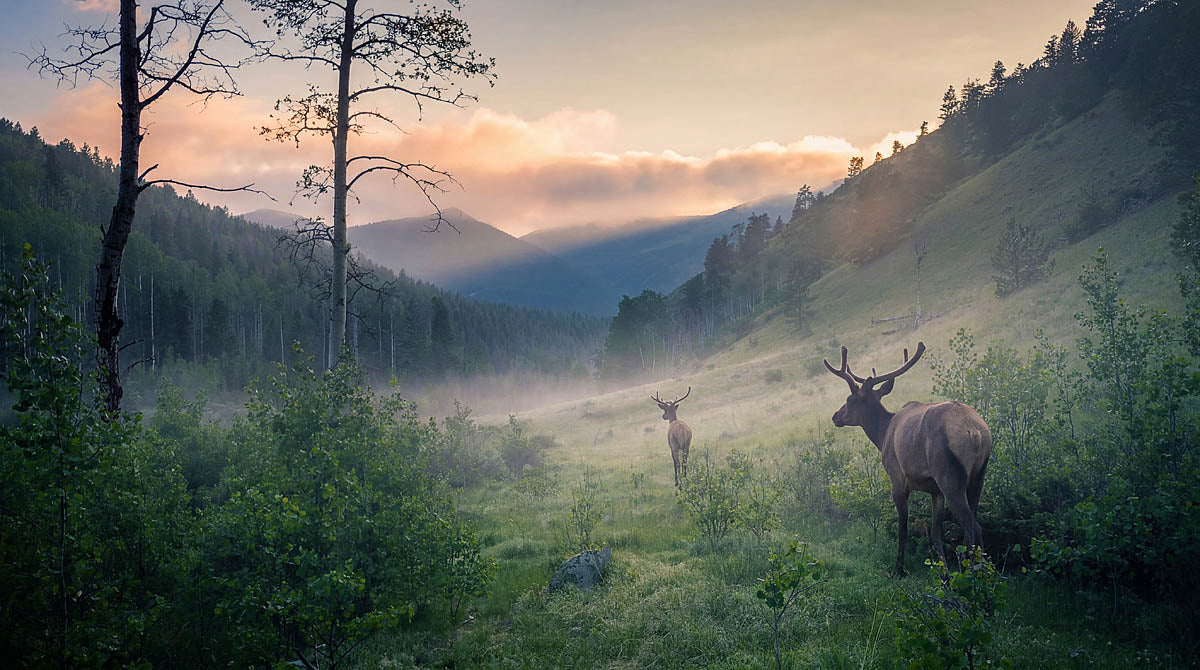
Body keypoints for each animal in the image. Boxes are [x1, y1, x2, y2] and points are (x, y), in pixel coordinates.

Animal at [823, 342, 991, 576]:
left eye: (850, 399)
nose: (836, 416)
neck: (882, 434)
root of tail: (975, 431)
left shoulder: (898, 479)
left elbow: (903, 526)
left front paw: (898, 569)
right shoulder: (935, 491)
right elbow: (935, 532)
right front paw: (944, 573)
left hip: (949, 475)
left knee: (972, 526)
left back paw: (975, 575)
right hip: (978, 475)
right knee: (974, 524)